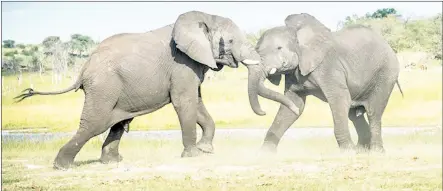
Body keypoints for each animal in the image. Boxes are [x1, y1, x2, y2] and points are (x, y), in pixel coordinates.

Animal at [15, 10, 262, 169]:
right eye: (230, 41)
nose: (263, 113)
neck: (205, 18)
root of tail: (84, 68)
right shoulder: (182, 64)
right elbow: (185, 102)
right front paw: (193, 156)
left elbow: (197, 102)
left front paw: (205, 150)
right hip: (104, 86)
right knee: (94, 124)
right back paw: (62, 166)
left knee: (118, 122)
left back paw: (112, 162)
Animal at [245, 13, 404, 154]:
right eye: (257, 50)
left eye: (279, 48)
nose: (264, 112)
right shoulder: (295, 74)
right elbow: (294, 103)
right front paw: (264, 154)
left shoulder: (329, 67)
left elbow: (340, 99)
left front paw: (348, 152)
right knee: (354, 114)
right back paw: (361, 151)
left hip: (386, 73)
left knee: (373, 112)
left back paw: (376, 152)